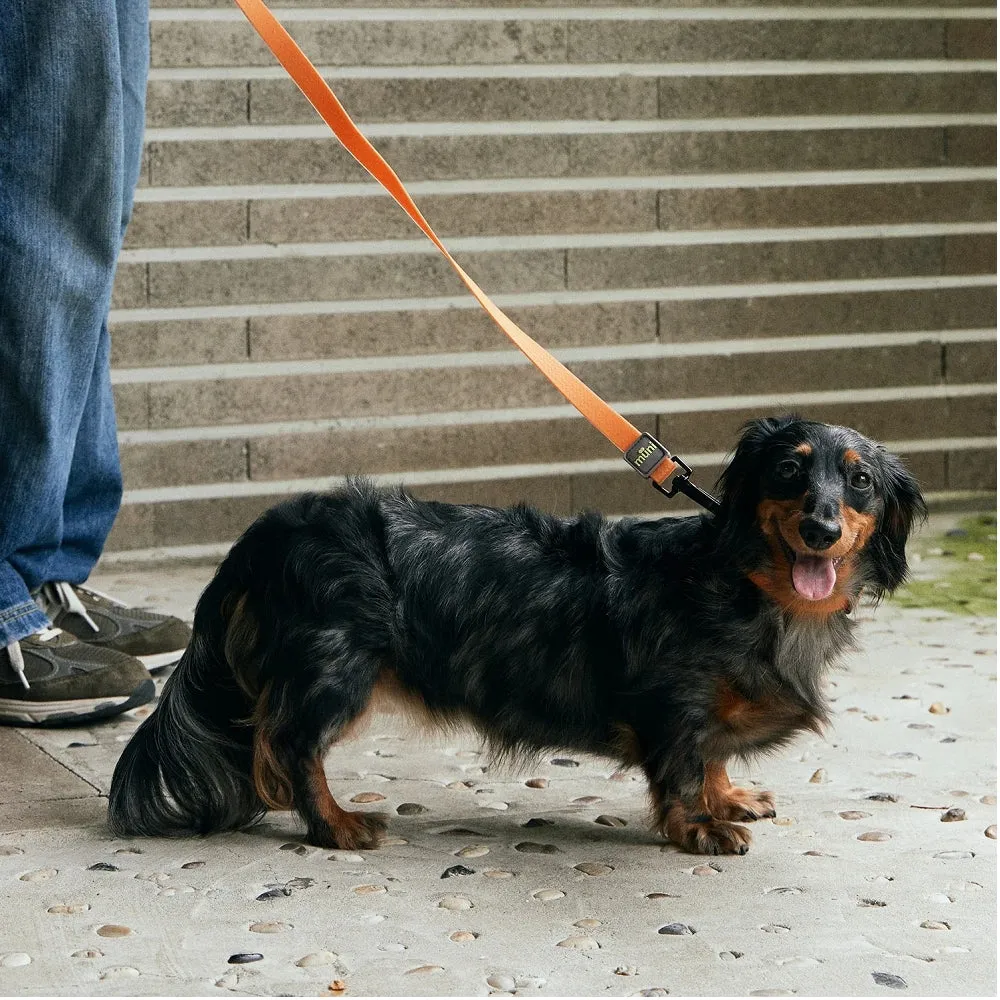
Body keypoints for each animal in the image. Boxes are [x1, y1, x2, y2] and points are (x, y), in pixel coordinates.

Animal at [107, 414, 920, 852]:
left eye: (860, 481)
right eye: (788, 471)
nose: (820, 530)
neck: (749, 587)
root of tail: (267, 532)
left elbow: (712, 759)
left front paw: (729, 798)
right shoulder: (676, 707)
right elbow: (685, 769)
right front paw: (700, 827)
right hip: (336, 667)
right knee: (291, 749)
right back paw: (336, 826)